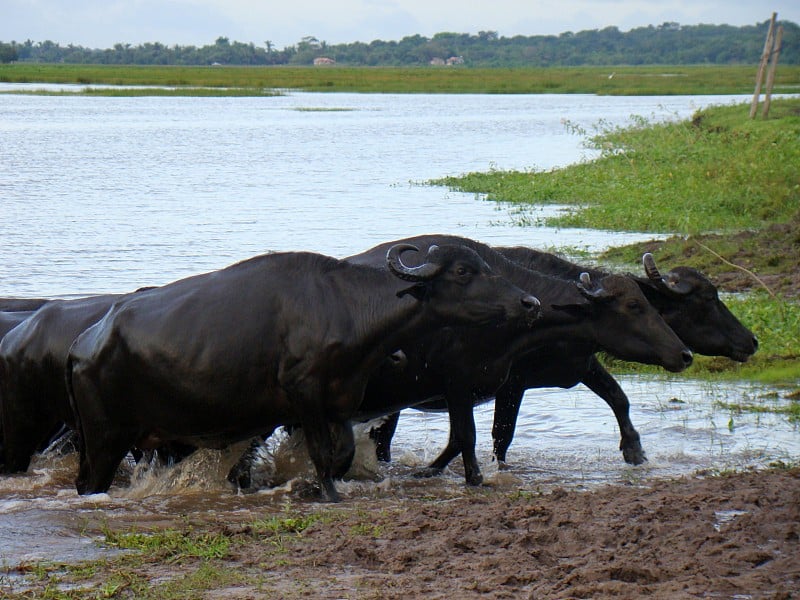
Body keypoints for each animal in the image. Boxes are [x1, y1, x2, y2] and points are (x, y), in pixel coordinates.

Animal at [69, 244, 540, 502]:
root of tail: (84, 343)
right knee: (92, 482)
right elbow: (319, 451)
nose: (529, 302)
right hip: (106, 437)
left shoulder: (340, 402)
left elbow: (342, 451)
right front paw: (328, 494)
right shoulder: (304, 396)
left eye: (487, 267)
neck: (344, 308)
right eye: (463, 271)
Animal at [346, 234, 692, 482]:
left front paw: (635, 450)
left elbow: (618, 396)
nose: (684, 354)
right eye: (633, 305)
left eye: (649, 302)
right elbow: (483, 435)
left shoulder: (572, 366)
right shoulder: (471, 383)